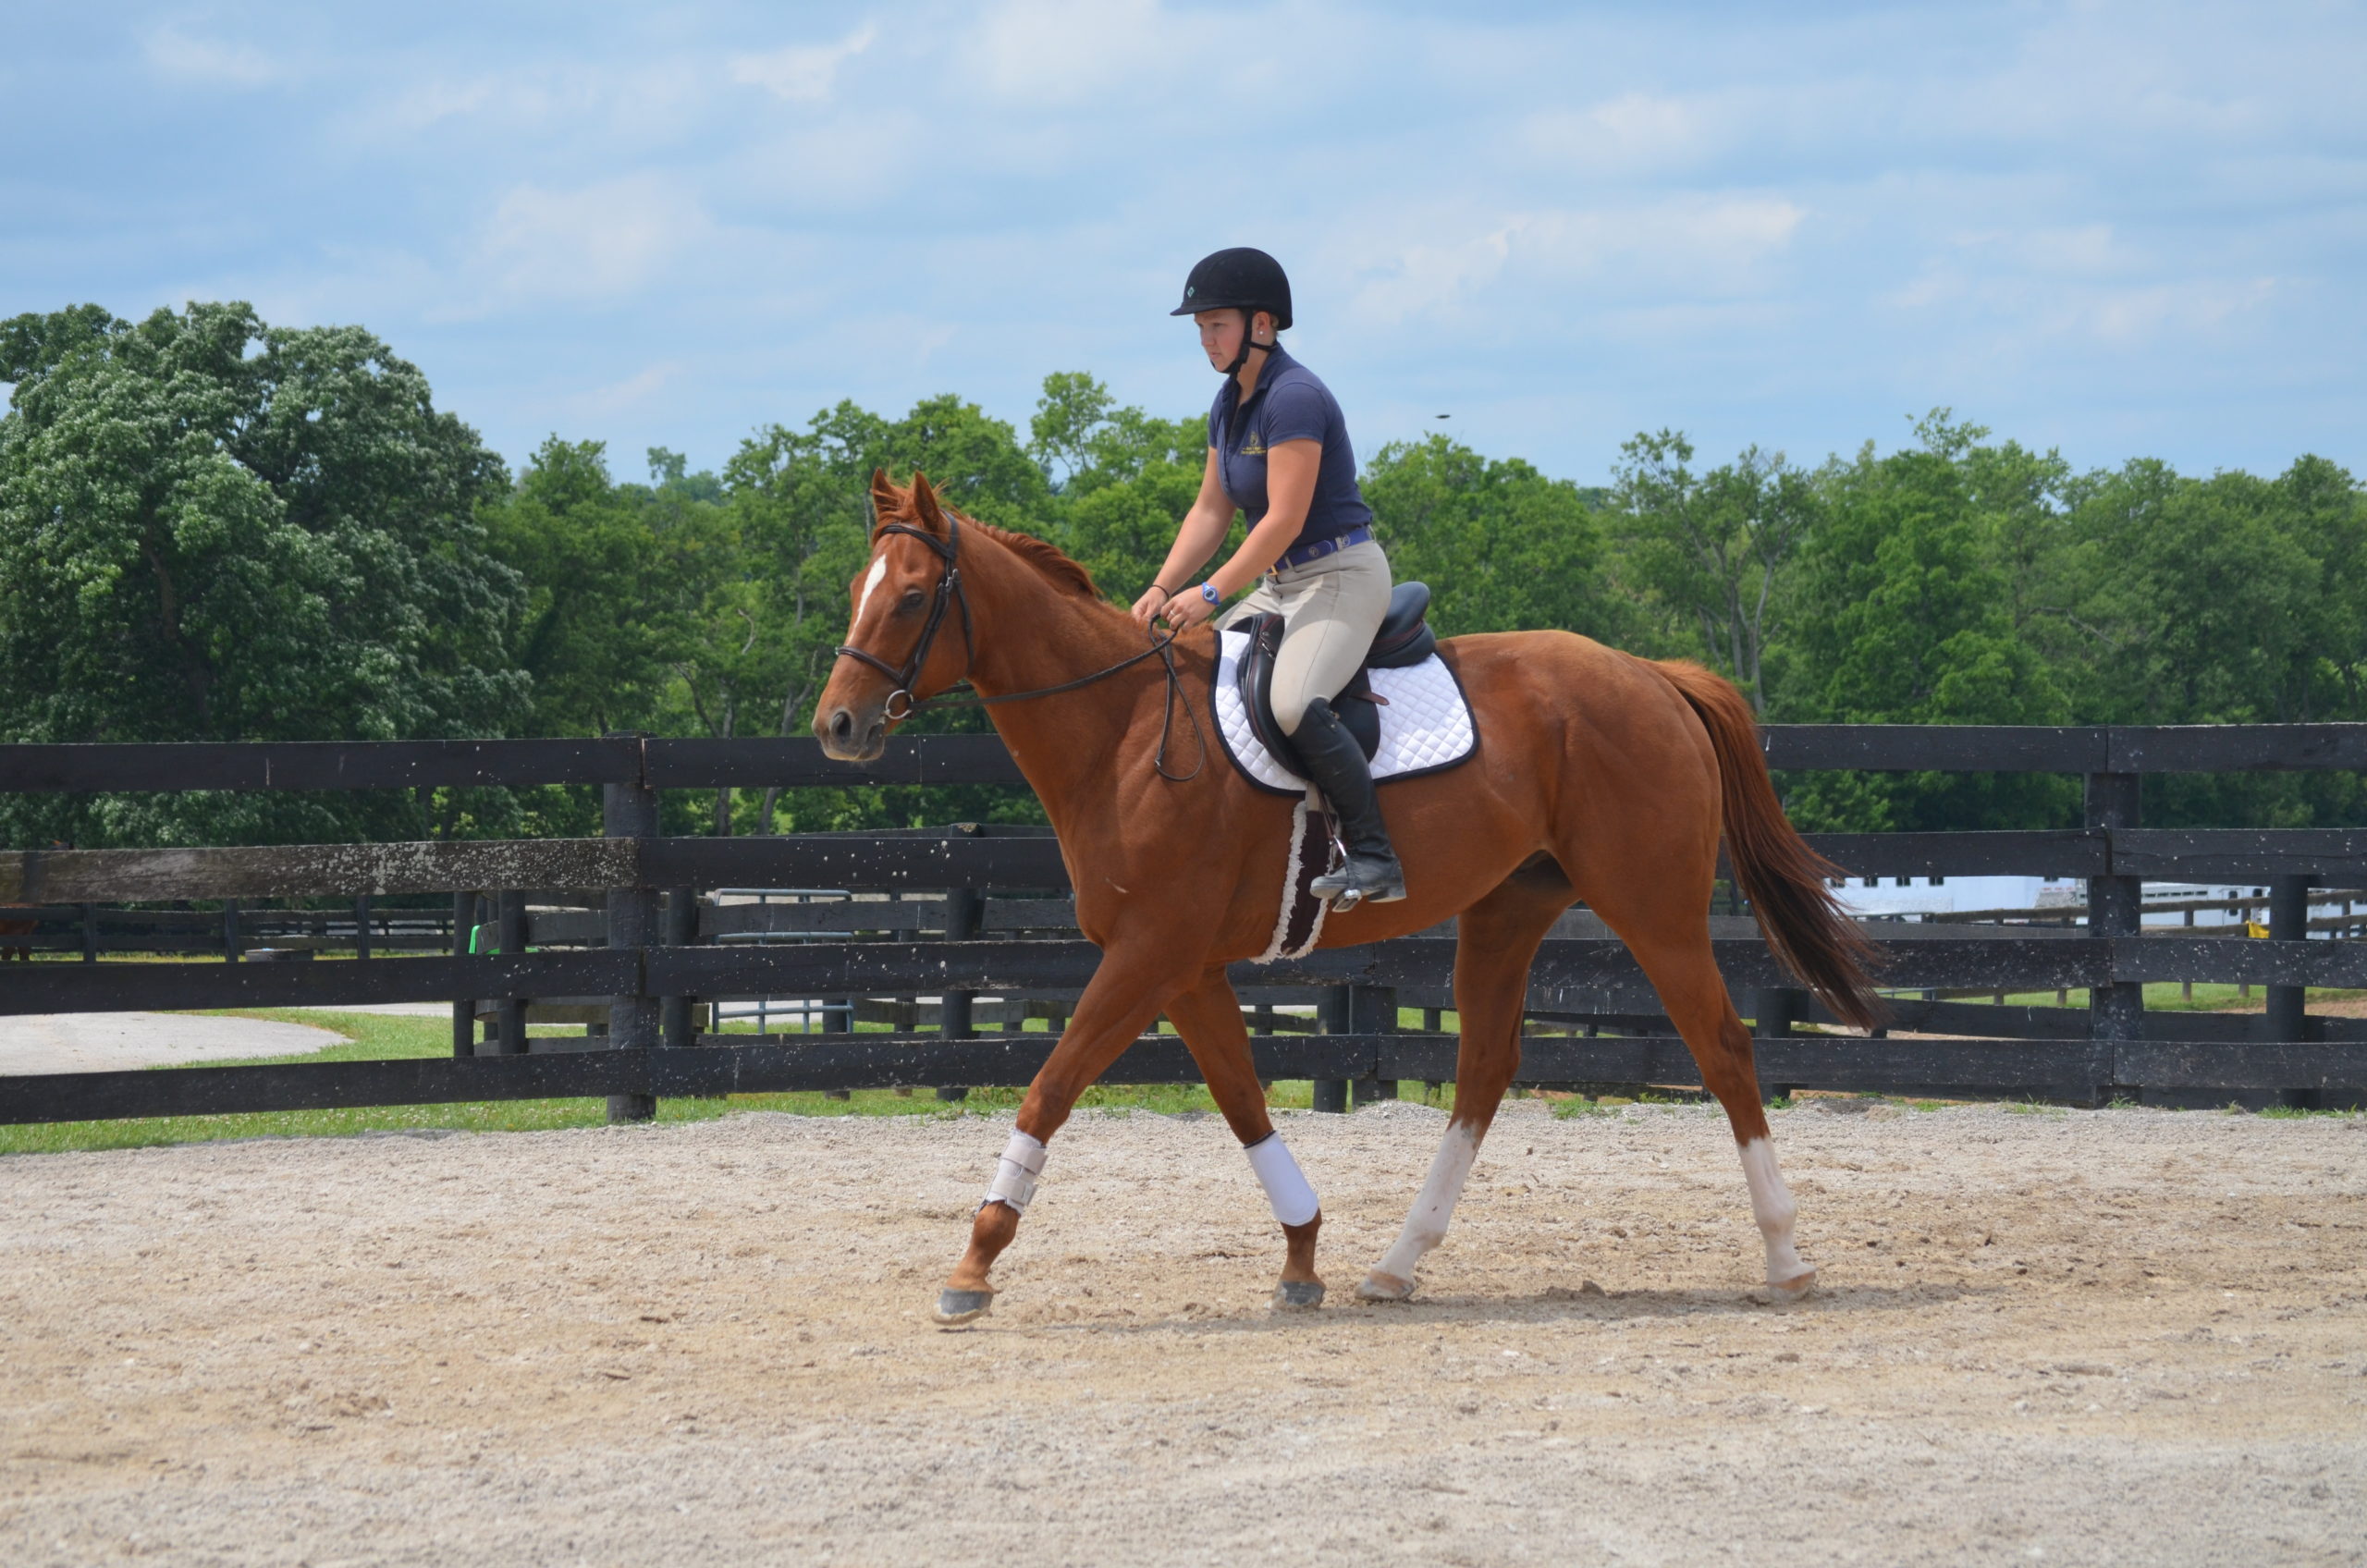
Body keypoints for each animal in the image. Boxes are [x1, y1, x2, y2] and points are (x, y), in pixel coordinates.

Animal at [814, 471, 1881, 1325]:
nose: (837, 727)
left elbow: (1051, 1086)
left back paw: (1787, 1258)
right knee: (1484, 1069)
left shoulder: (1148, 955)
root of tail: (1652, 677)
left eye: (912, 598)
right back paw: (1398, 1264)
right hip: (1508, 911)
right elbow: (1243, 1102)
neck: (1122, 730)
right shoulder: (1183, 968)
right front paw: (1302, 1256)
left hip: (1652, 908)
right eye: (859, 593)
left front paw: (973, 1264)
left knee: (1723, 1048)